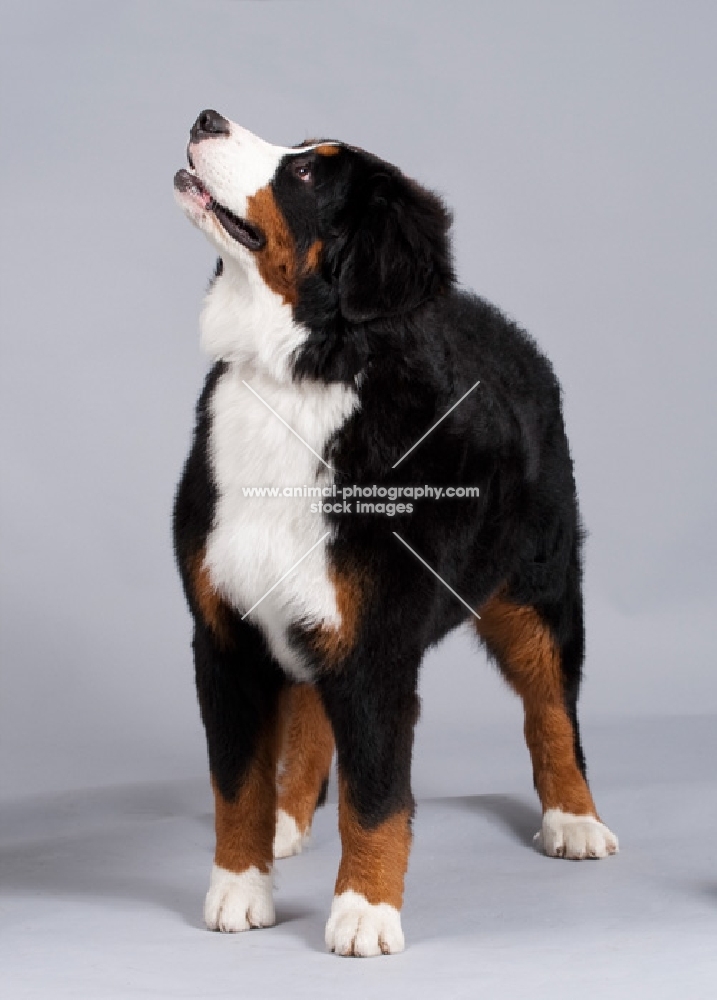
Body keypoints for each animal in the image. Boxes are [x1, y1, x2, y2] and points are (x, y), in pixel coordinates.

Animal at [172, 109, 616, 960]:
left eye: (306, 174)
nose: (206, 118)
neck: (293, 379)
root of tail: (494, 319)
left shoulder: (375, 641)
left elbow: (375, 794)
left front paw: (364, 912)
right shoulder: (227, 630)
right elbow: (234, 783)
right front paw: (239, 888)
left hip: (537, 592)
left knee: (551, 709)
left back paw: (574, 820)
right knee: (313, 716)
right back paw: (288, 819)